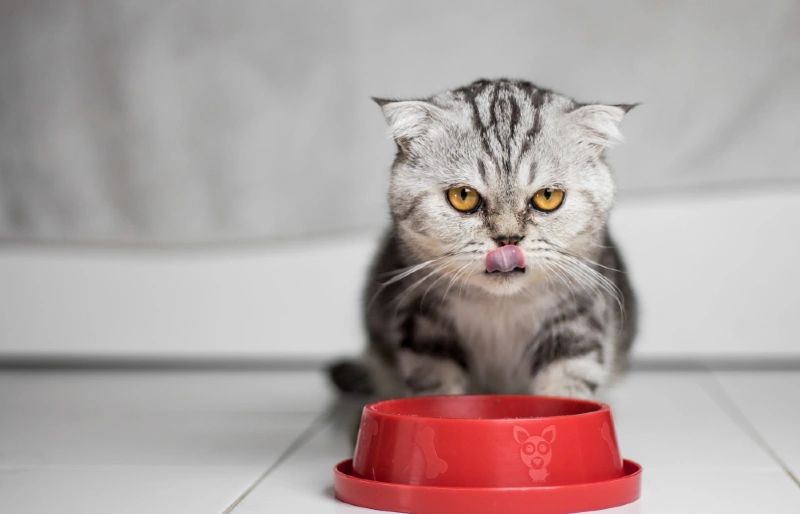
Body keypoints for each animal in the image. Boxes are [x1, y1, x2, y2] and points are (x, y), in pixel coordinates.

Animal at [328, 79, 636, 400]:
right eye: (463, 196)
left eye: (548, 196)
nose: (508, 239)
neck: (500, 309)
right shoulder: (424, 328)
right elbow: (436, 390)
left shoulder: (578, 321)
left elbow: (567, 388)